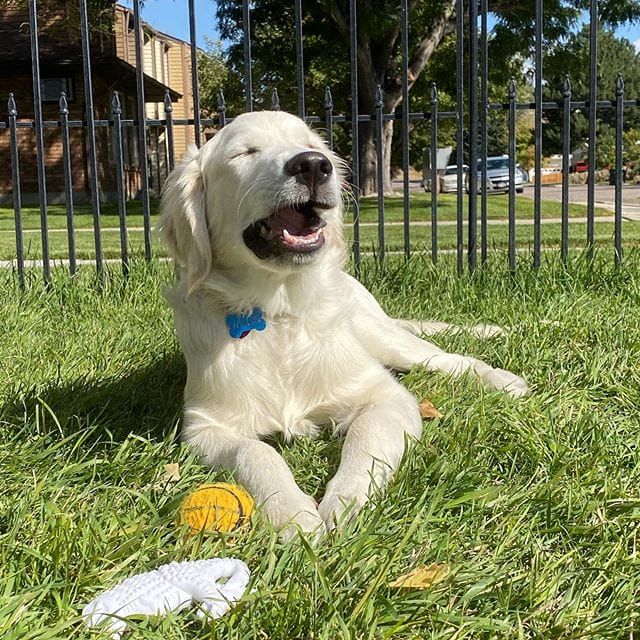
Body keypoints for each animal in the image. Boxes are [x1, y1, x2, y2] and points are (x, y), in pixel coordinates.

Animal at [158, 110, 529, 540]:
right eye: (245, 152)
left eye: (312, 146)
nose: (313, 165)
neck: (279, 311)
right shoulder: (205, 427)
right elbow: (255, 450)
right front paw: (292, 513)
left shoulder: (384, 397)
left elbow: (365, 440)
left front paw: (345, 502)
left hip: (388, 339)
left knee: (452, 359)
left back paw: (504, 380)